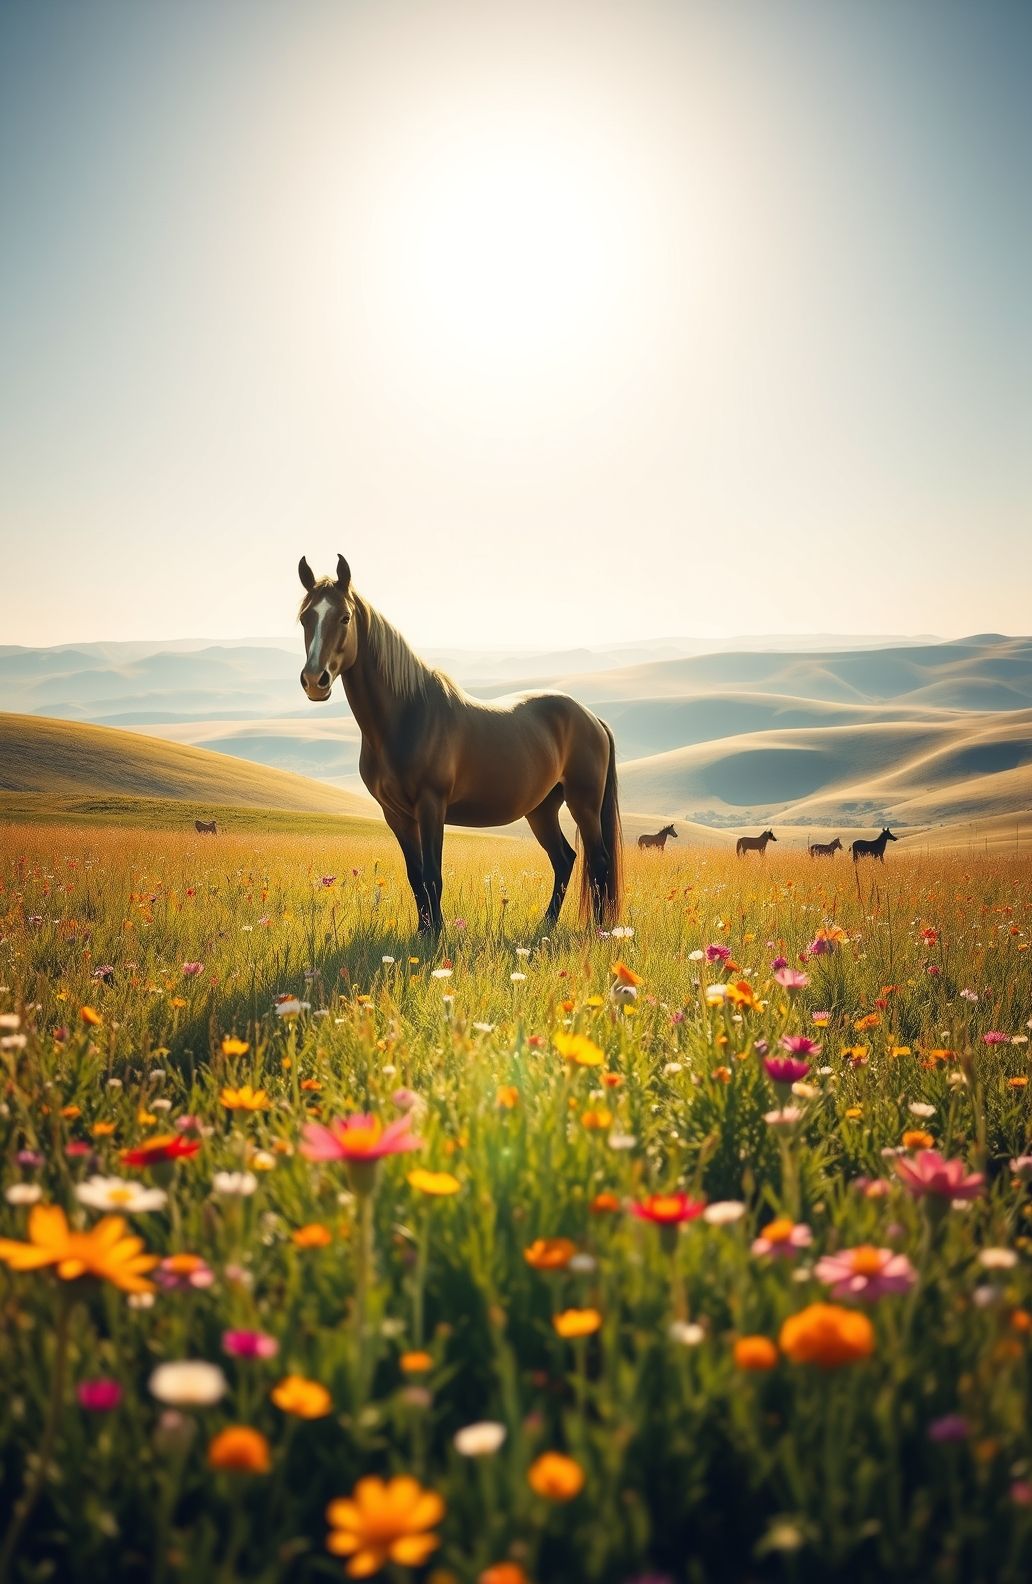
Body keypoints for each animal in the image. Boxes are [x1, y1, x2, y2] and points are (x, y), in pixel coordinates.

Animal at [297, 555, 622, 935]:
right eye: (305, 617)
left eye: (344, 617)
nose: (314, 681)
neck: (407, 717)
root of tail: (591, 717)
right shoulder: (396, 815)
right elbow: (415, 876)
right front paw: (424, 932)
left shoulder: (431, 806)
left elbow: (431, 876)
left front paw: (436, 935)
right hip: (542, 808)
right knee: (564, 859)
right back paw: (547, 925)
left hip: (584, 802)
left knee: (598, 861)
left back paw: (598, 931)